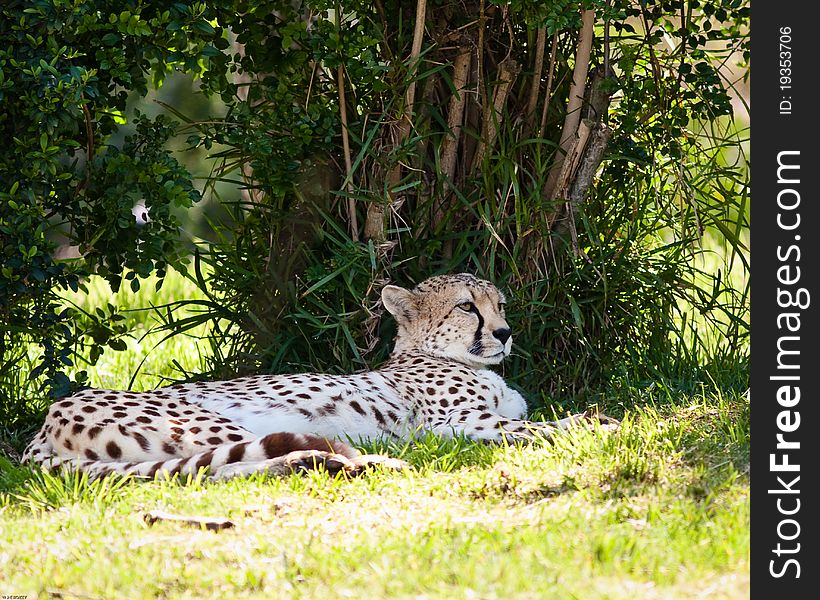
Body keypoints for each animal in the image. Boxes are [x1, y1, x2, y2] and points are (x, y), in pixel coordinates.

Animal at [22, 274, 620, 480]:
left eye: (500, 304)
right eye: (467, 307)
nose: (505, 333)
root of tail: (46, 422)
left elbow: (538, 418)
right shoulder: (459, 424)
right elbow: (540, 426)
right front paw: (606, 423)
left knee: (207, 474)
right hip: (211, 421)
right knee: (229, 464)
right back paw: (371, 462)